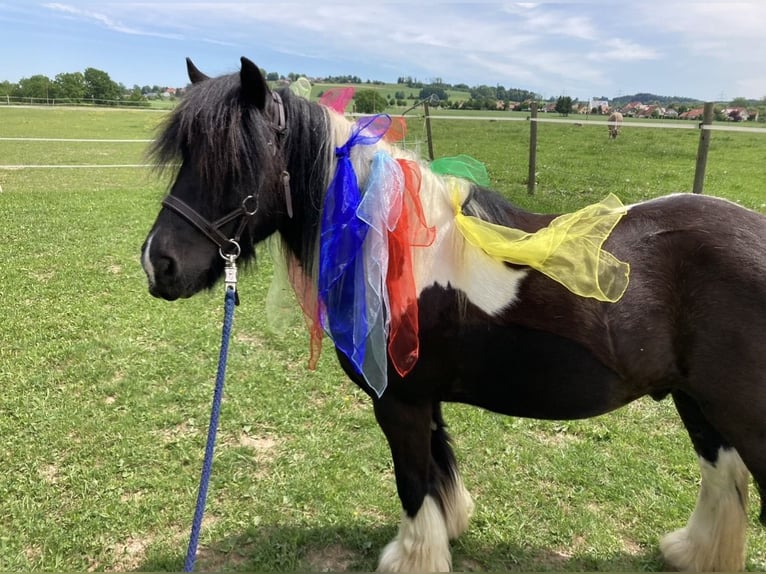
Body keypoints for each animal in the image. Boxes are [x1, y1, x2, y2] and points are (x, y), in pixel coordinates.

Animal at [141, 57, 766, 572]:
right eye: (187, 156)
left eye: (236, 162)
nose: (158, 263)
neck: (389, 246)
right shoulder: (424, 399)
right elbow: (440, 467)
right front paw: (451, 528)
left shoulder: (400, 401)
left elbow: (414, 479)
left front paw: (414, 558)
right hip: (696, 400)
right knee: (722, 474)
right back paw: (693, 553)